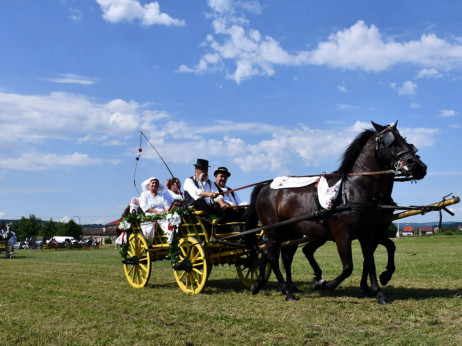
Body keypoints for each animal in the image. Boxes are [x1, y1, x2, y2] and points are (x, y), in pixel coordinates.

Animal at [247, 121, 428, 302]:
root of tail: (265, 186)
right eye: (391, 142)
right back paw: (287, 291)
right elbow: (348, 267)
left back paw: (259, 284)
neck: (354, 190)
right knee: (272, 256)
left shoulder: (368, 233)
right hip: (275, 232)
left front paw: (378, 291)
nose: (418, 165)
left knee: (271, 253)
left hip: (289, 232)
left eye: (406, 141)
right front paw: (325, 284)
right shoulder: (342, 235)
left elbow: (371, 260)